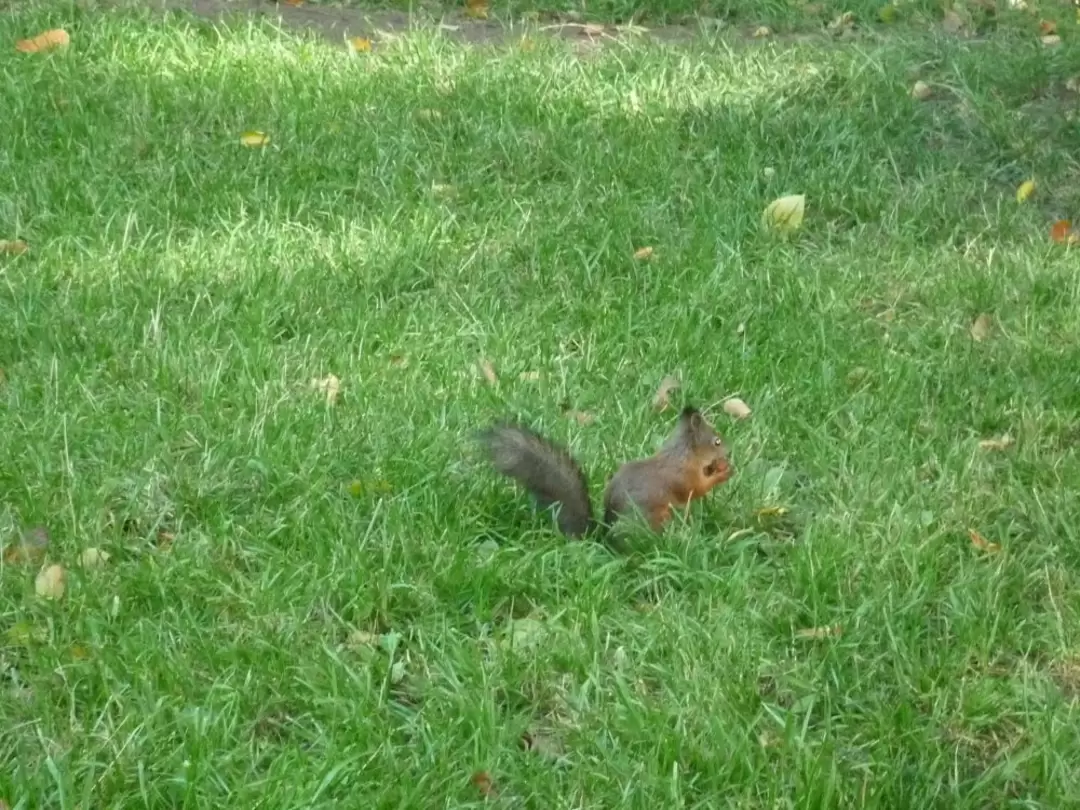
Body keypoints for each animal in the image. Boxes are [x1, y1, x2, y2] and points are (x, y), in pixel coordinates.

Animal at [477, 405, 732, 540]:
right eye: (717, 441)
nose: (729, 452)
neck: (682, 454)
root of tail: (605, 538)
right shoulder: (680, 476)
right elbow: (695, 489)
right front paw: (723, 473)